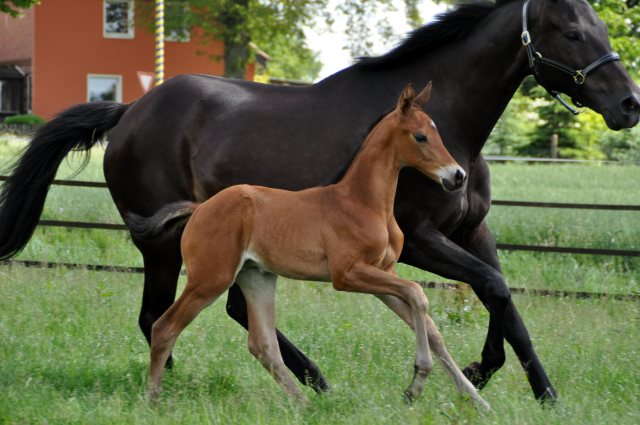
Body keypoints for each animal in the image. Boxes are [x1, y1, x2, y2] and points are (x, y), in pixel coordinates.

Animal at [129, 84, 490, 410]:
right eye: (420, 136)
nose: (457, 176)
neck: (364, 201)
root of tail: (200, 207)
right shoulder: (348, 275)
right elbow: (418, 294)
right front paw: (416, 384)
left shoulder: (382, 274)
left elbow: (428, 324)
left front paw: (474, 398)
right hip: (210, 279)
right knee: (164, 327)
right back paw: (153, 401)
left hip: (256, 278)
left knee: (263, 345)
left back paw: (304, 404)